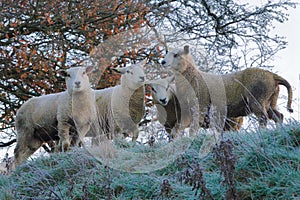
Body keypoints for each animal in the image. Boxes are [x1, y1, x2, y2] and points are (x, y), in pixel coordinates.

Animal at [162, 45, 292, 130]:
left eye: (176, 55)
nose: (162, 62)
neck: (194, 77)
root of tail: (273, 76)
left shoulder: (202, 104)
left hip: (257, 98)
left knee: (263, 118)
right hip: (270, 100)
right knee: (278, 116)